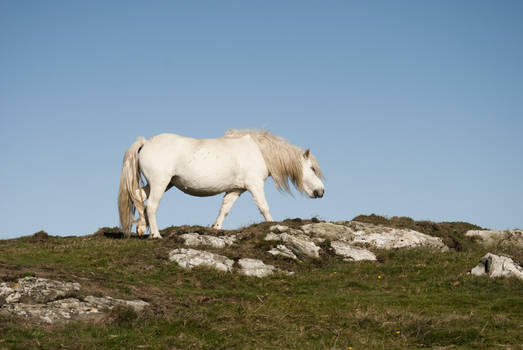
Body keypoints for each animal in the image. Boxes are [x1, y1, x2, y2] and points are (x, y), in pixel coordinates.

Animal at [117, 130, 326, 239]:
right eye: (312, 168)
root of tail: (146, 142)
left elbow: (225, 208)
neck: (258, 151)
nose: (321, 191)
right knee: (151, 205)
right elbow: (264, 207)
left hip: (164, 184)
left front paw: (216, 228)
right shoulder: (254, 185)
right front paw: (272, 225)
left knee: (138, 196)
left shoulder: (236, 189)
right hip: (160, 183)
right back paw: (155, 235)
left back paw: (141, 228)